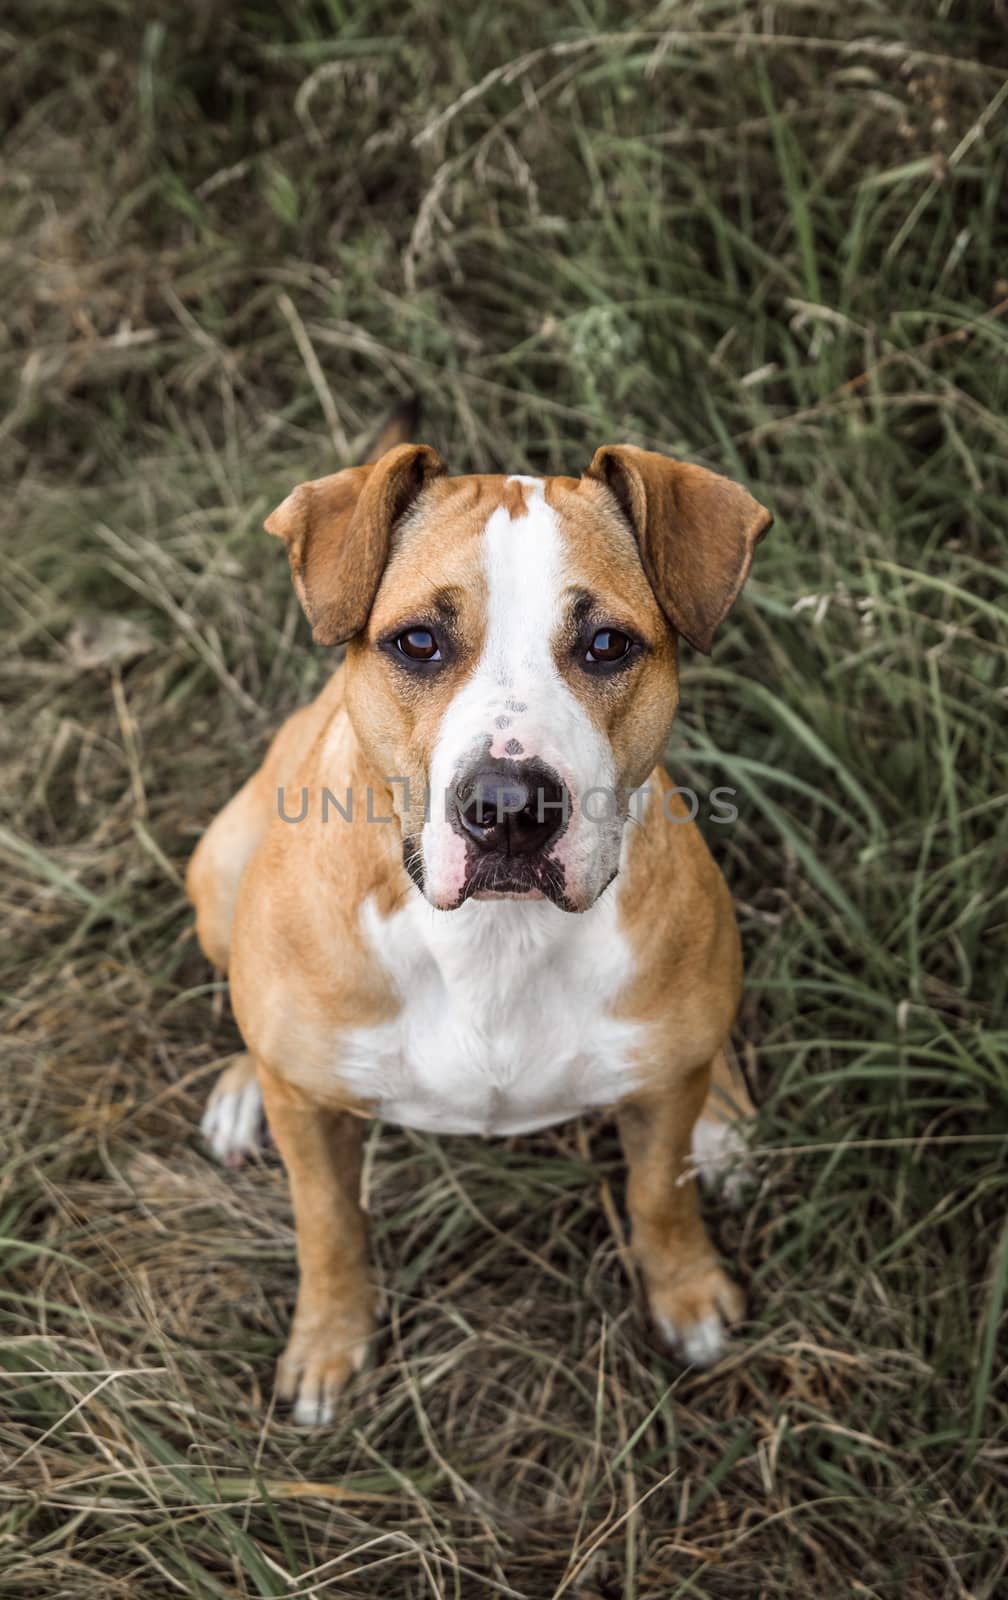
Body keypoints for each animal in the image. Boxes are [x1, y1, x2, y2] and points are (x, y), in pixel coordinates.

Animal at [189, 409, 774, 1427]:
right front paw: (329, 1343)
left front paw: (688, 1291)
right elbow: (327, 1221)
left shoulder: (659, 1093)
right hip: (219, 868)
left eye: (608, 645)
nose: (509, 806)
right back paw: (239, 1089)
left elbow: (659, 1193)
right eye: (418, 642)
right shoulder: (314, 1121)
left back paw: (724, 1118)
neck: (495, 938)